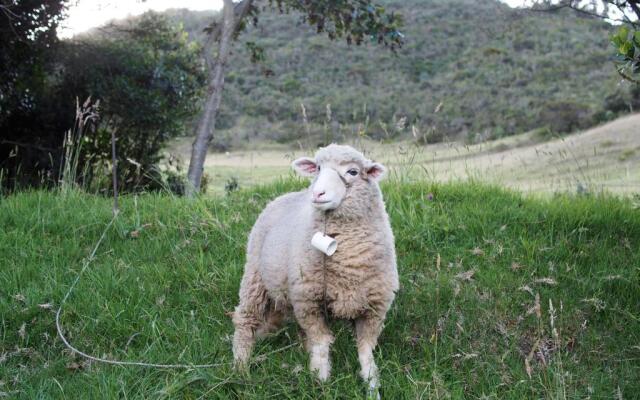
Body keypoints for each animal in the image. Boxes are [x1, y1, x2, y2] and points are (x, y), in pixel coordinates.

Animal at [232, 144, 398, 394]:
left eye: (352, 172)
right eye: (318, 168)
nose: (318, 194)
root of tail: (287, 194)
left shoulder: (374, 309)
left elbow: (365, 351)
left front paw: (372, 387)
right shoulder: (309, 303)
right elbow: (321, 343)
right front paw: (321, 382)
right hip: (254, 276)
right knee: (245, 320)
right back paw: (240, 367)